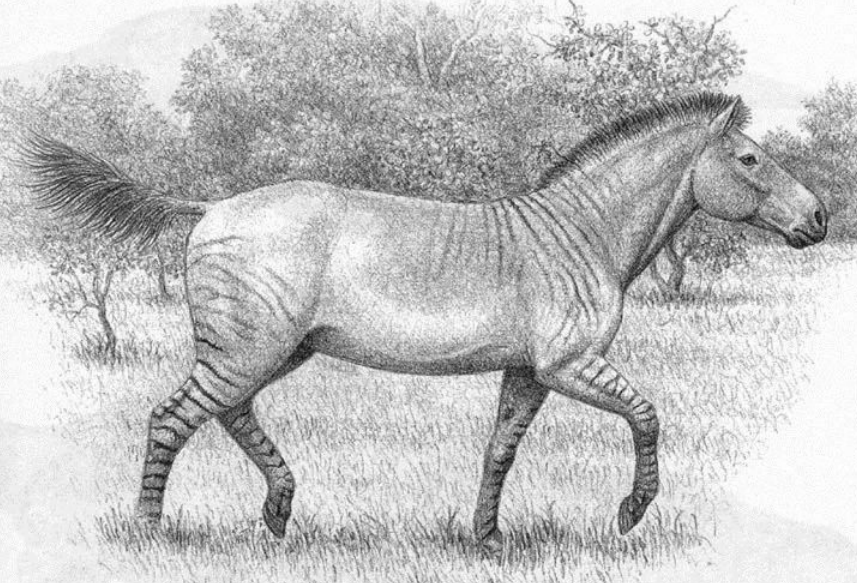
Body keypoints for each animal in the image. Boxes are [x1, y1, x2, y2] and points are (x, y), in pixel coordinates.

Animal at [23, 93, 827, 552]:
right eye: (750, 158)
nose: (819, 219)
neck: (581, 232)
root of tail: (211, 206)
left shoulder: (528, 371)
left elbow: (500, 450)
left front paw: (487, 539)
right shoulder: (568, 364)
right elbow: (647, 414)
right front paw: (631, 511)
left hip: (272, 351)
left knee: (226, 413)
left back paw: (279, 516)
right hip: (248, 349)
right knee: (173, 418)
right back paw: (150, 532)